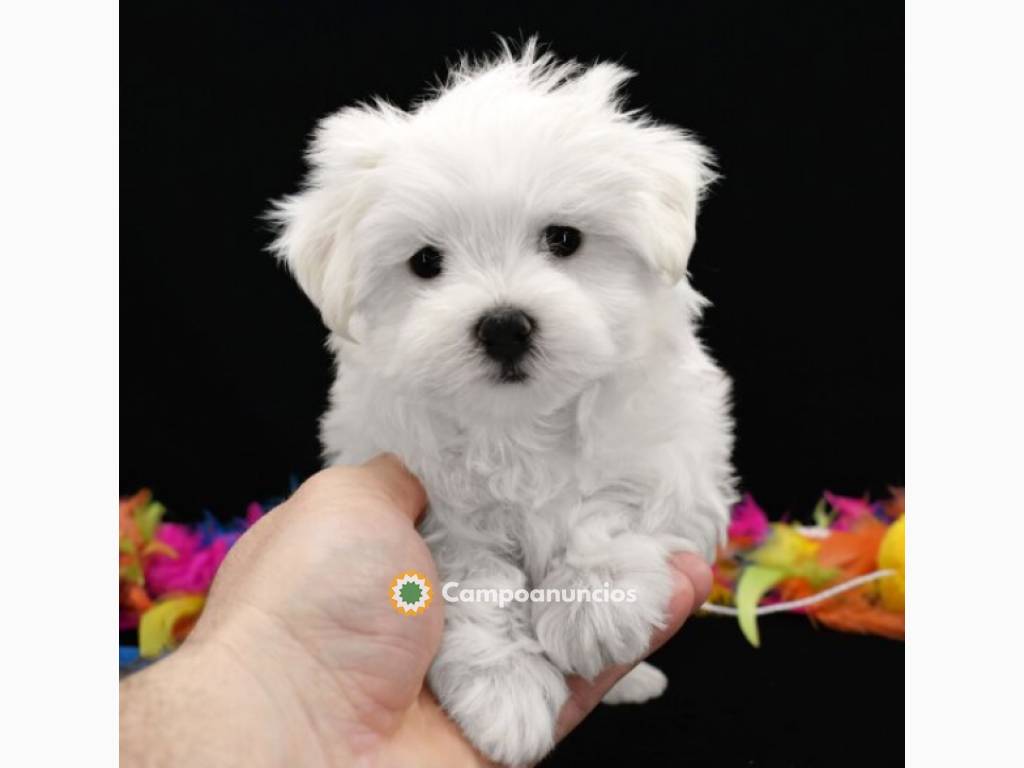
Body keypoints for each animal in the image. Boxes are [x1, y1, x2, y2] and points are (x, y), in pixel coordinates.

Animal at [272, 41, 737, 768]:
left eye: (564, 239)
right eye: (426, 262)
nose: (504, 326)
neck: (522, 421)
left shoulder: (674, 449)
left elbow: (615, 509)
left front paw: (590, 608)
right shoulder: (430, 500)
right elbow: (472, 584)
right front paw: (506, 696)